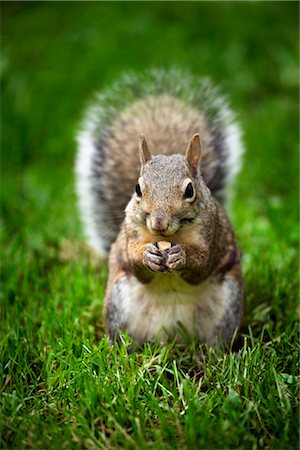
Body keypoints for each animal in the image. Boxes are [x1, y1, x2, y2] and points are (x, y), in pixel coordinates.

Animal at [75, 68, 244, 346]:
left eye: (189, 190)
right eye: (137, 188)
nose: (159, 223)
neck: (172, 235)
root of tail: (172, 335)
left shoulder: (212, 233)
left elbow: (202, 263)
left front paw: (181, 255)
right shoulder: (130, 233)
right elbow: (135, 262)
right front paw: (146, 255)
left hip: (228, 305)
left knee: (218, 341)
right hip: (118, 303)